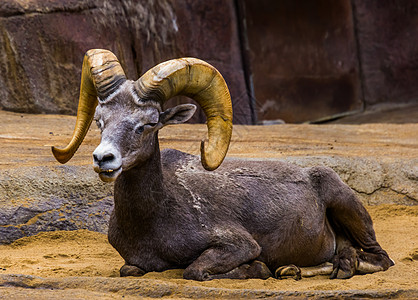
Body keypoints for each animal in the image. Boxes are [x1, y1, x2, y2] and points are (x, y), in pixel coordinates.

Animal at [51, 49, 392, 282]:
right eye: (99, 121)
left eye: (147, 124)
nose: (103, 159)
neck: (154, 218)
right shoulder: (132, 263)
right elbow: (128, 270)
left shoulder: (238, 245)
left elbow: (194, 270)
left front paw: (257, 268)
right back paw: (291, 268)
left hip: (346, 205)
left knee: (379, 259)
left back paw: (335, 266)